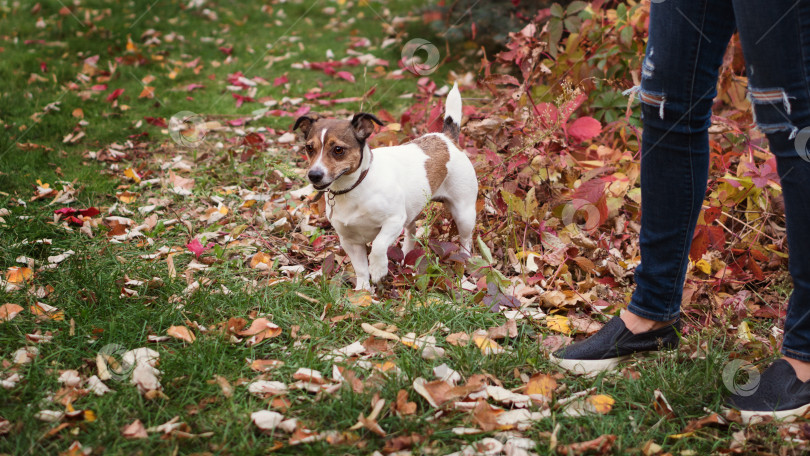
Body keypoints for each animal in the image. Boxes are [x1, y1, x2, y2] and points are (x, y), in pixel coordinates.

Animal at [294, 83, 476, 290]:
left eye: (338, 150)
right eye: (309, 148)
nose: (314, 175)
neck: (356, 187)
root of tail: (446, 138)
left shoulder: (393, 221)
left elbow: (379, 246)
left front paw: (378, 269)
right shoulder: (349, 241)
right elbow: (360, 268)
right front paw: (362, 290)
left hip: (464, 213)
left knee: (465, 239)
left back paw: (465, 260)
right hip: (411, 210)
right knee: (411, 232)